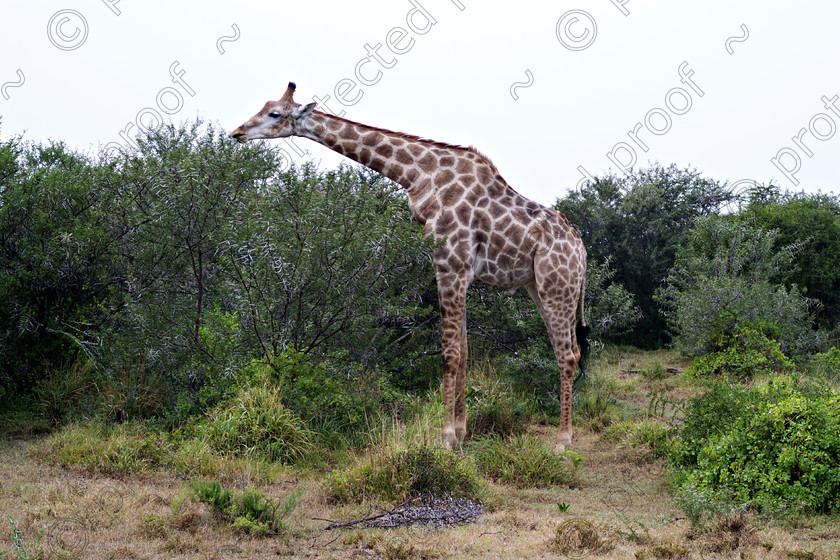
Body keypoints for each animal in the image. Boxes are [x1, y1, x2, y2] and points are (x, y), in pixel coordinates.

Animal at [228, 83, 584, 448]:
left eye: (274, 113)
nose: (237, 132)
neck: (419, 175)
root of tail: (581, 249)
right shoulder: (461, 274)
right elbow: (465, 352)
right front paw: (460, 432)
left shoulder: (448, 265)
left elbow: (449, 354)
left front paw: (445, 437)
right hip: (539, 287)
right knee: (570, 350)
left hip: (558, 287)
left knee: (567, 354)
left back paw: (563, 441)